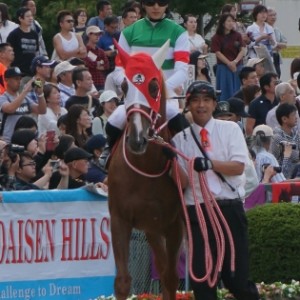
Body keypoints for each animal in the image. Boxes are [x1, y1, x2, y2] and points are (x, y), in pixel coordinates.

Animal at [108, 40, 183, 300]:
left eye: (153, 86)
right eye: (123, 86)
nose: (137, 139)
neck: (144, 167)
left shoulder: (173, 224)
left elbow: (170, 278)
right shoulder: (120, 219)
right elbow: (122, 282)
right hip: (151, 229)